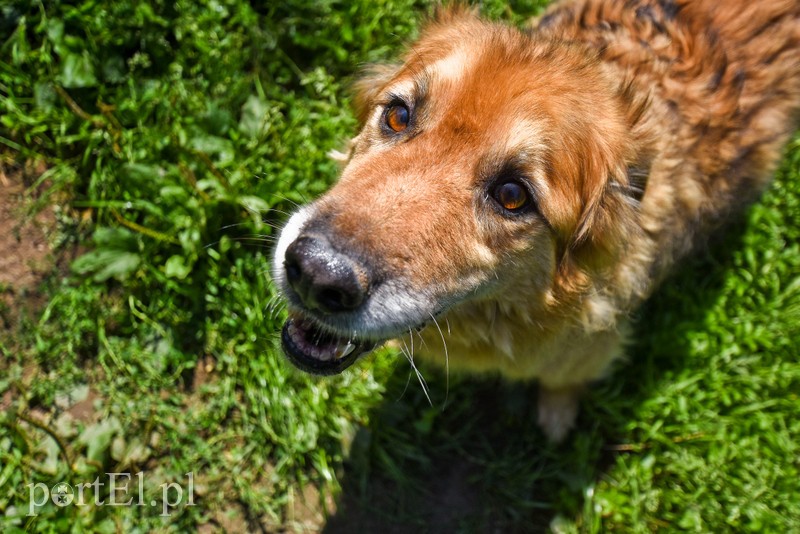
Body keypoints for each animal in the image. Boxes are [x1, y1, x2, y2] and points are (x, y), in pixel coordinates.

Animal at [270, 0, 800, 442]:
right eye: (398, 115)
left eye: (512, 196)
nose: (315, 274)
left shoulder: (586, 349)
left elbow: (564, 383)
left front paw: (557, 416)